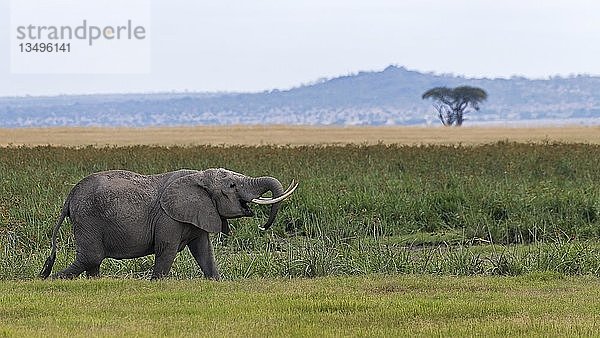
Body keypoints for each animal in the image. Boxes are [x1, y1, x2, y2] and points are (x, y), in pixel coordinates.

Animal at [39, 168, 298, 280]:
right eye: (232, 186)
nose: (263, 227)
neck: (199, 177)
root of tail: (69, 199)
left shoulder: (199, 213)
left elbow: (203, 251)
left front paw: (216, 281)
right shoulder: (168, 218)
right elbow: (167, 249)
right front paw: (157, 283)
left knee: (93, 261)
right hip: (88, 219)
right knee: (91, 257)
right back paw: (49, 279)